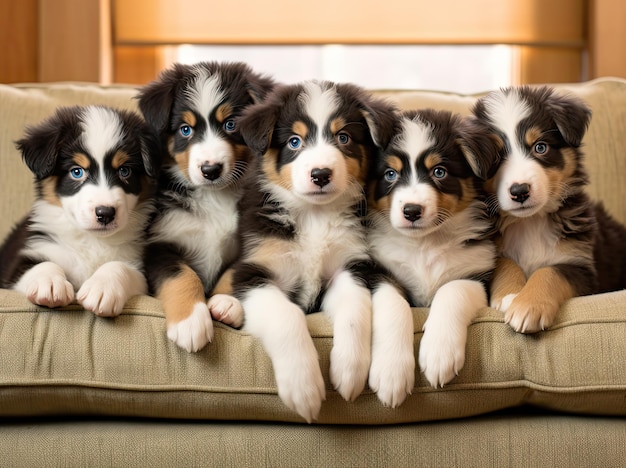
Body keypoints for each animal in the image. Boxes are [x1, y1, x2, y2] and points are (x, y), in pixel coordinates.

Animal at [0, 105, 161, 316]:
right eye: (77, 171)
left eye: (124, 171)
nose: (105, 213)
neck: (92, 241)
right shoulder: (22, 261)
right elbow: (41, 264)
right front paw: (50, 284)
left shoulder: (140, 269)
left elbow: (119, 266)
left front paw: (102, 288)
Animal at [136, 60, 272, 352]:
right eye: (185, 129)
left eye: (231, 124)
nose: (210, 170)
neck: (213, 196)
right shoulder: (159, 243)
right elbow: (182, 274)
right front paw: (191, 322)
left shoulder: (249, 239)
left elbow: (234, 271)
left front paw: (226, 303)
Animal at [368, 109, 494, 394]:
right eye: (390, 174)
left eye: (439, 171)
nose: (412, 211)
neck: (424, 244)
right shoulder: (379, 271)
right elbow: (394, 305)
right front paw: (391, 372)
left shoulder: (477, 272)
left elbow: (451, 291)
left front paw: (439, 353)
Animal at [470, 85, 624, 332]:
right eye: (495, 158)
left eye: (540, 147)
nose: (520, 191)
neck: (531, 221)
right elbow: (505, 262)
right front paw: (510, 295)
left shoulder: (582, 266)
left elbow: (550, 271)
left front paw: (528, 305)